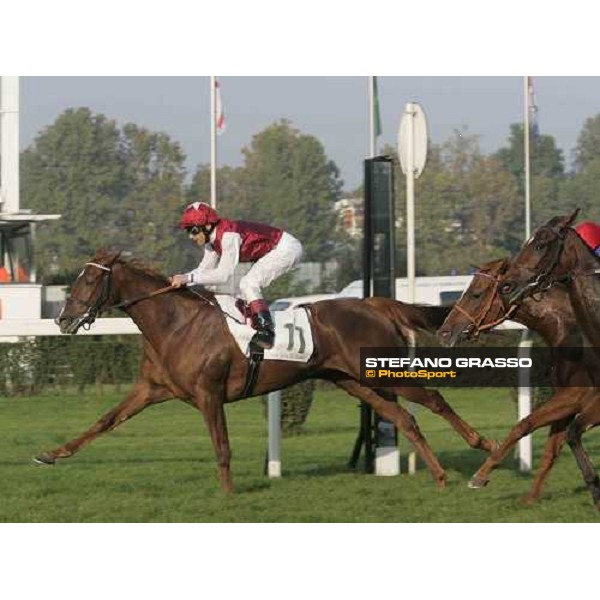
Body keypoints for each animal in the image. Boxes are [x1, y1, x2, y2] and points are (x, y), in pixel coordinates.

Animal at [39, 248, 494, 492]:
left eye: (87, 283)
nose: (63, 319)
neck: (176, 323)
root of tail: (374, 303)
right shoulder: (151, 389)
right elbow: (105, 421)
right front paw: (52, 453)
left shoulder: (209, 394)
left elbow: (222, 446)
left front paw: (227, 494)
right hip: (356, 382)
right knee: (404, 418)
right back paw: (440, 476)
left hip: (379, 373)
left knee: (432, 398)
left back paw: (485, 445)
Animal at [434, 255, 600, 508]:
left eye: (476, 294)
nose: (444, 333)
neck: (569, 329)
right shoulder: (567, 399)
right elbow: (551, 449)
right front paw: (530, 499)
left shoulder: (579, 395)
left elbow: (524, 424)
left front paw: (480, 475)